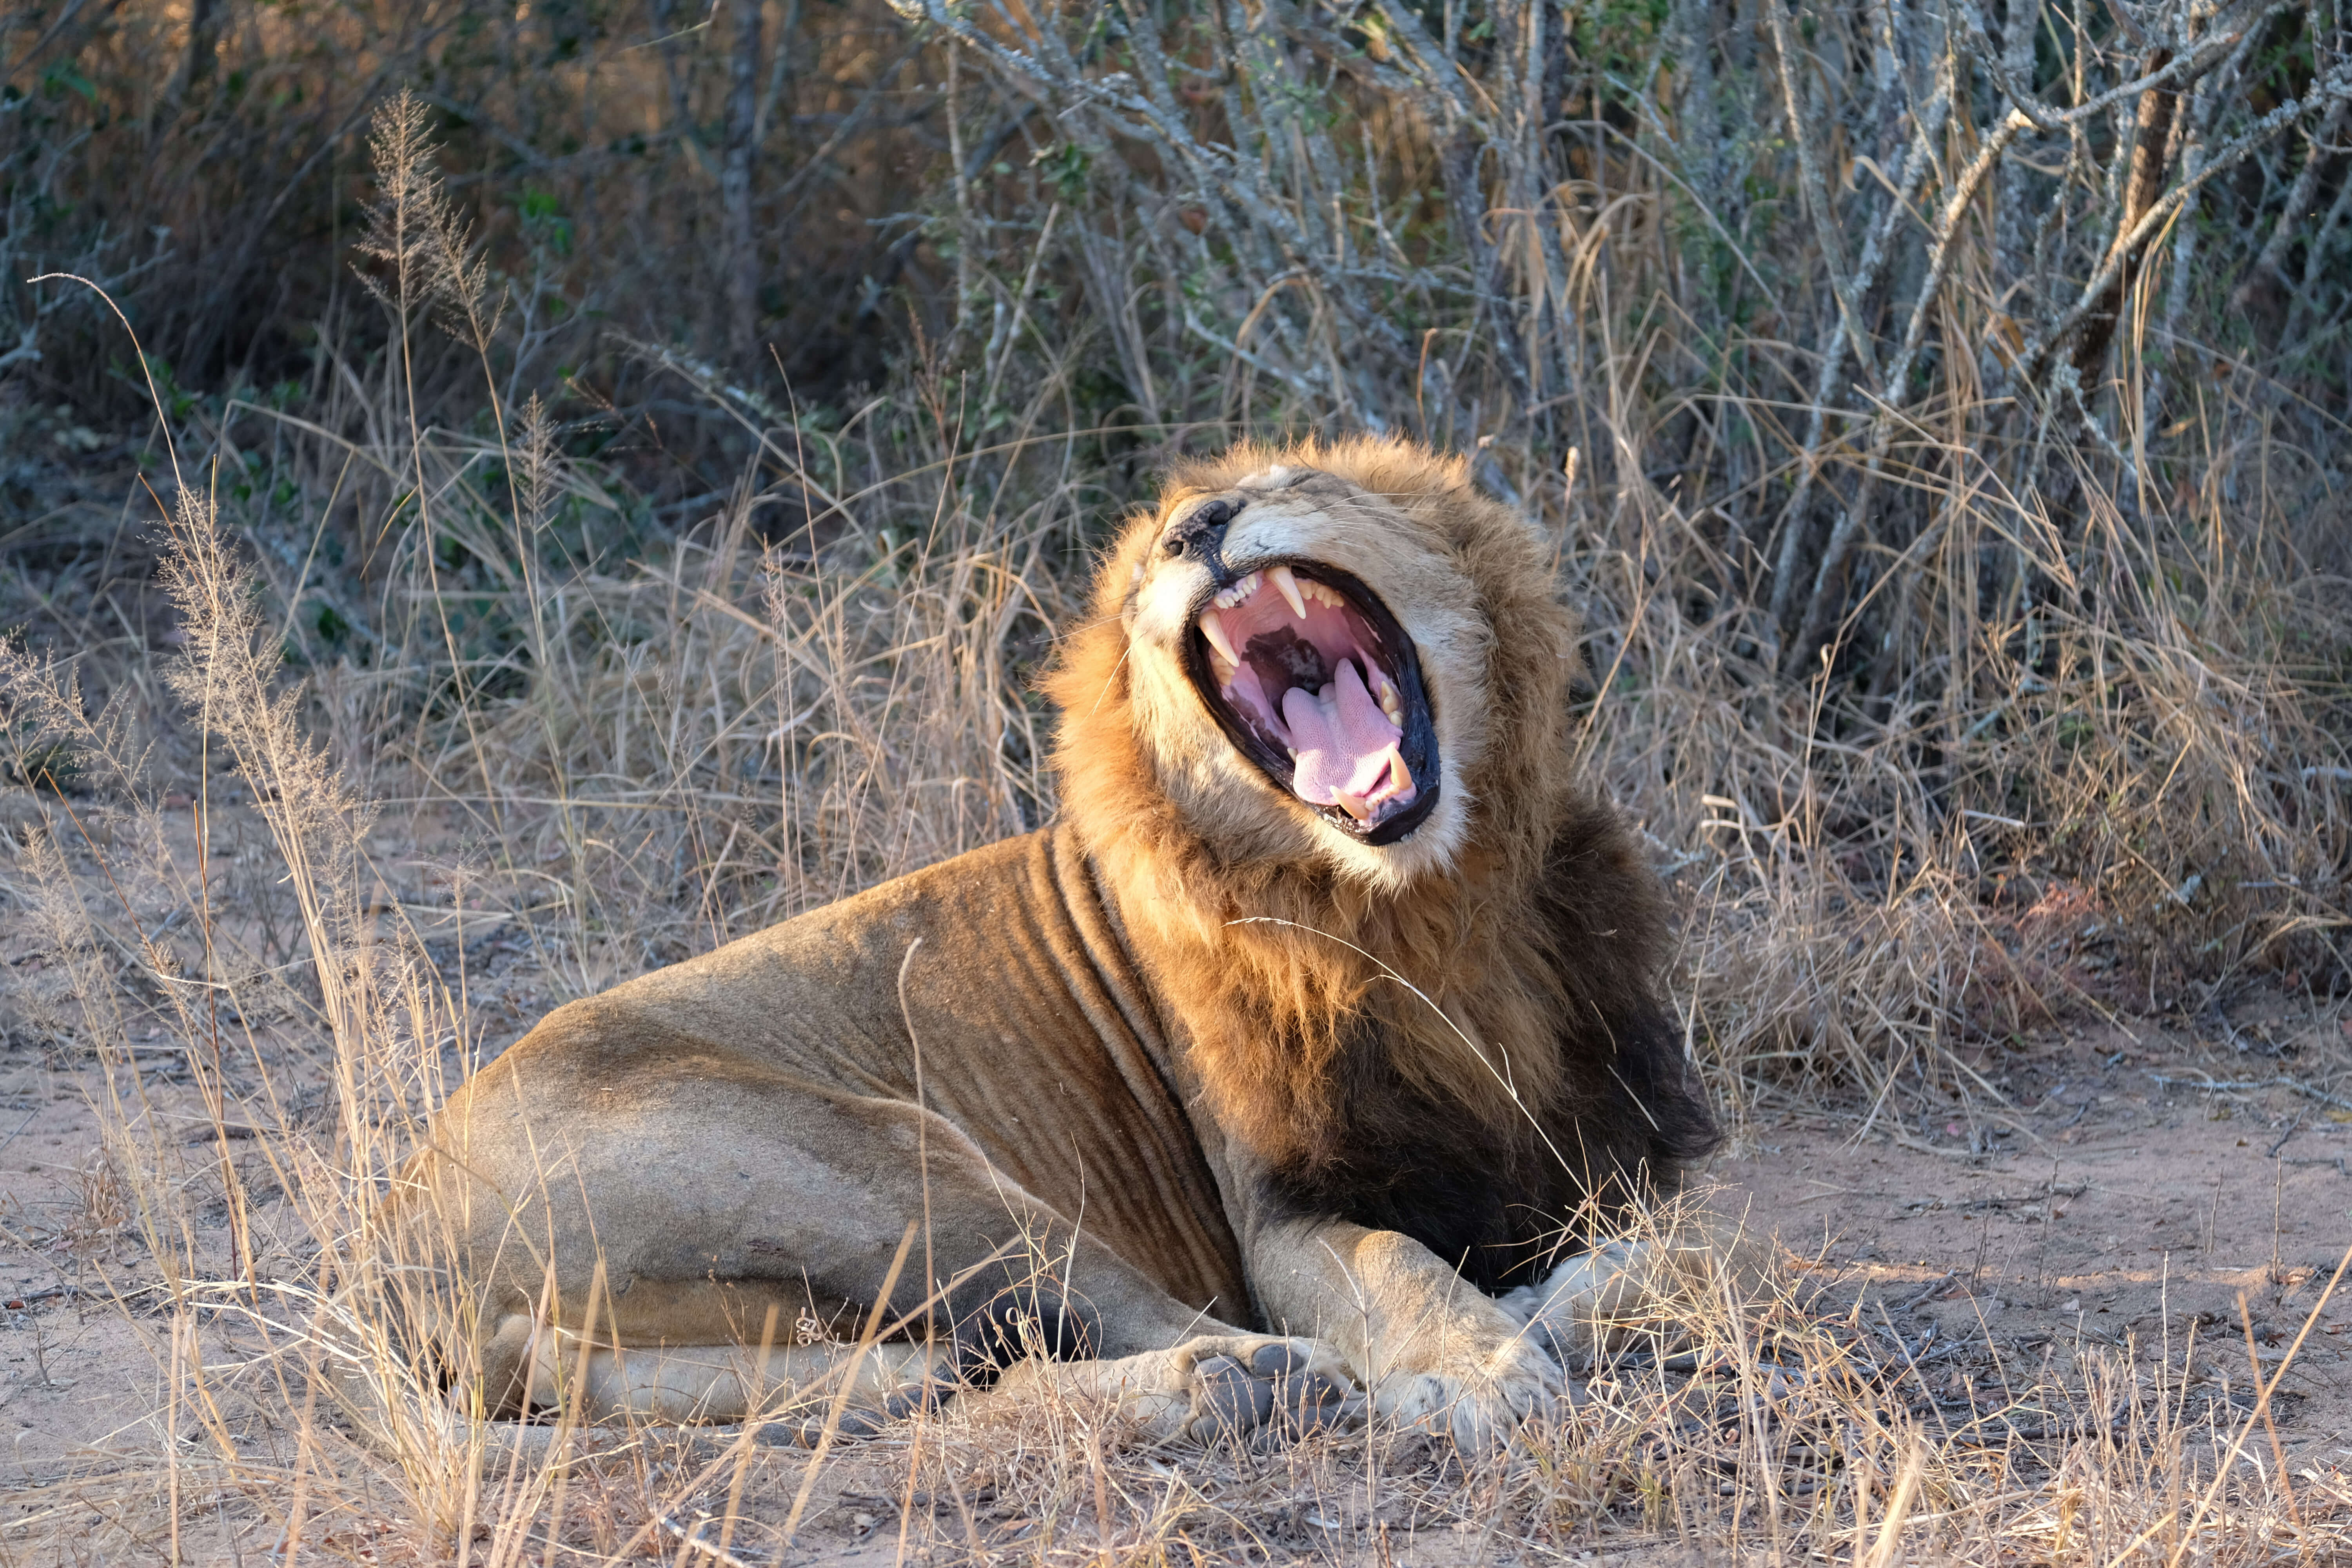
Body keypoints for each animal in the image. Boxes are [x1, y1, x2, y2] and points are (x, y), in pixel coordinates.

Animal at [367, 435, 1731, 1457]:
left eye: (1291, 483)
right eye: (1139, 583)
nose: (1198, 529)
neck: (1420, 907)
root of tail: (405, 1239)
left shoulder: (1640, 1131)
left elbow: (1718, 1234)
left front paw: (1592, 1287)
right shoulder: (1279, 1218)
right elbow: (1393, 1265)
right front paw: (1480, 1368)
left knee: (884, 1379)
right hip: (893, 1163)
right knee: (1119, 1327)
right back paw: (1243, 1379)